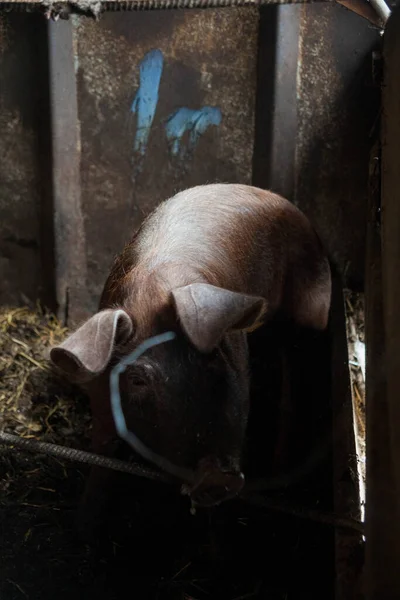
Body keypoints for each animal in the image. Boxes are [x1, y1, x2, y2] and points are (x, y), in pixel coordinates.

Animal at [50, 185, 332, 516]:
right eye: (137, 379)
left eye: (212, 364)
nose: (218, 477)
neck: (150, 294)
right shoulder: (102, 401)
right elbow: (102, 463)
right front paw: (85, 516)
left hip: (307, 319)